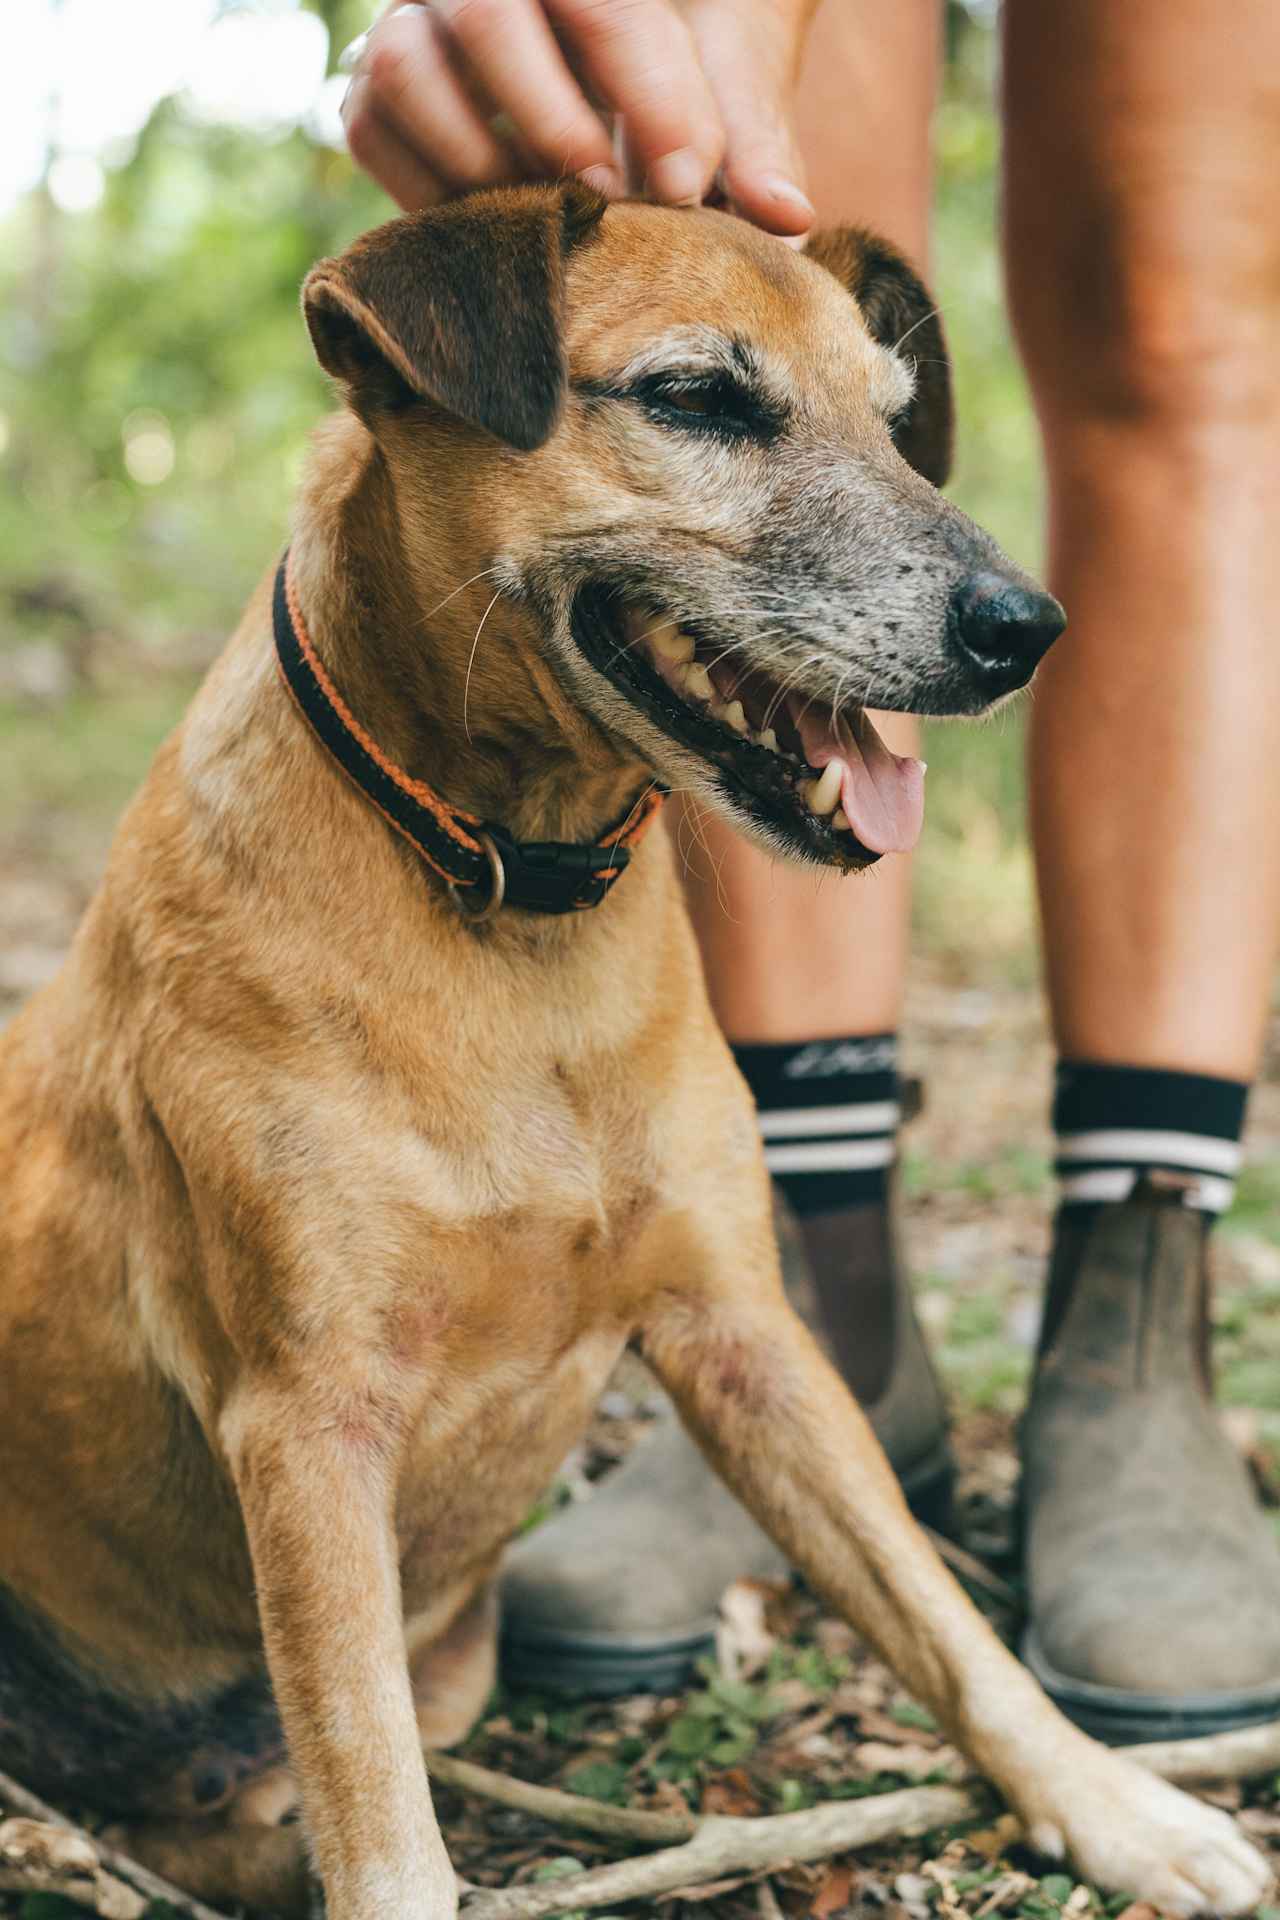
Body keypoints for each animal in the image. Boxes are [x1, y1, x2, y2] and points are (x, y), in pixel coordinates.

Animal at [0, 183, 1274, 1920]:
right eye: (695, 399)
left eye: (897, 421)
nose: (1028, 629)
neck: (510, 898)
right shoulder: (309, 1425)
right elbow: (378, 1814)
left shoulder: (748, 1335)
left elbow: (943, 1622)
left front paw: (1113, 1805)